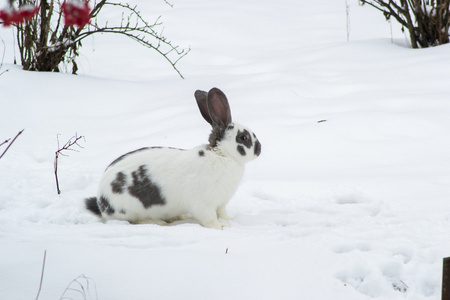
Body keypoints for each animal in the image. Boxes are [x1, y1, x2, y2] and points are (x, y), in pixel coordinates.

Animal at [85, 88, 262, 229]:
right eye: (244, 137)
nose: (260, 149)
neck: (222, 154)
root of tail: (102, 203)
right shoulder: (203, 204)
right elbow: (209, 218)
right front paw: (221, 226)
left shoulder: (221, 203)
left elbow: (222, 212)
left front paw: (229, 219)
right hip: (130, 210)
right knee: (135, 221)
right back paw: (159, 222)